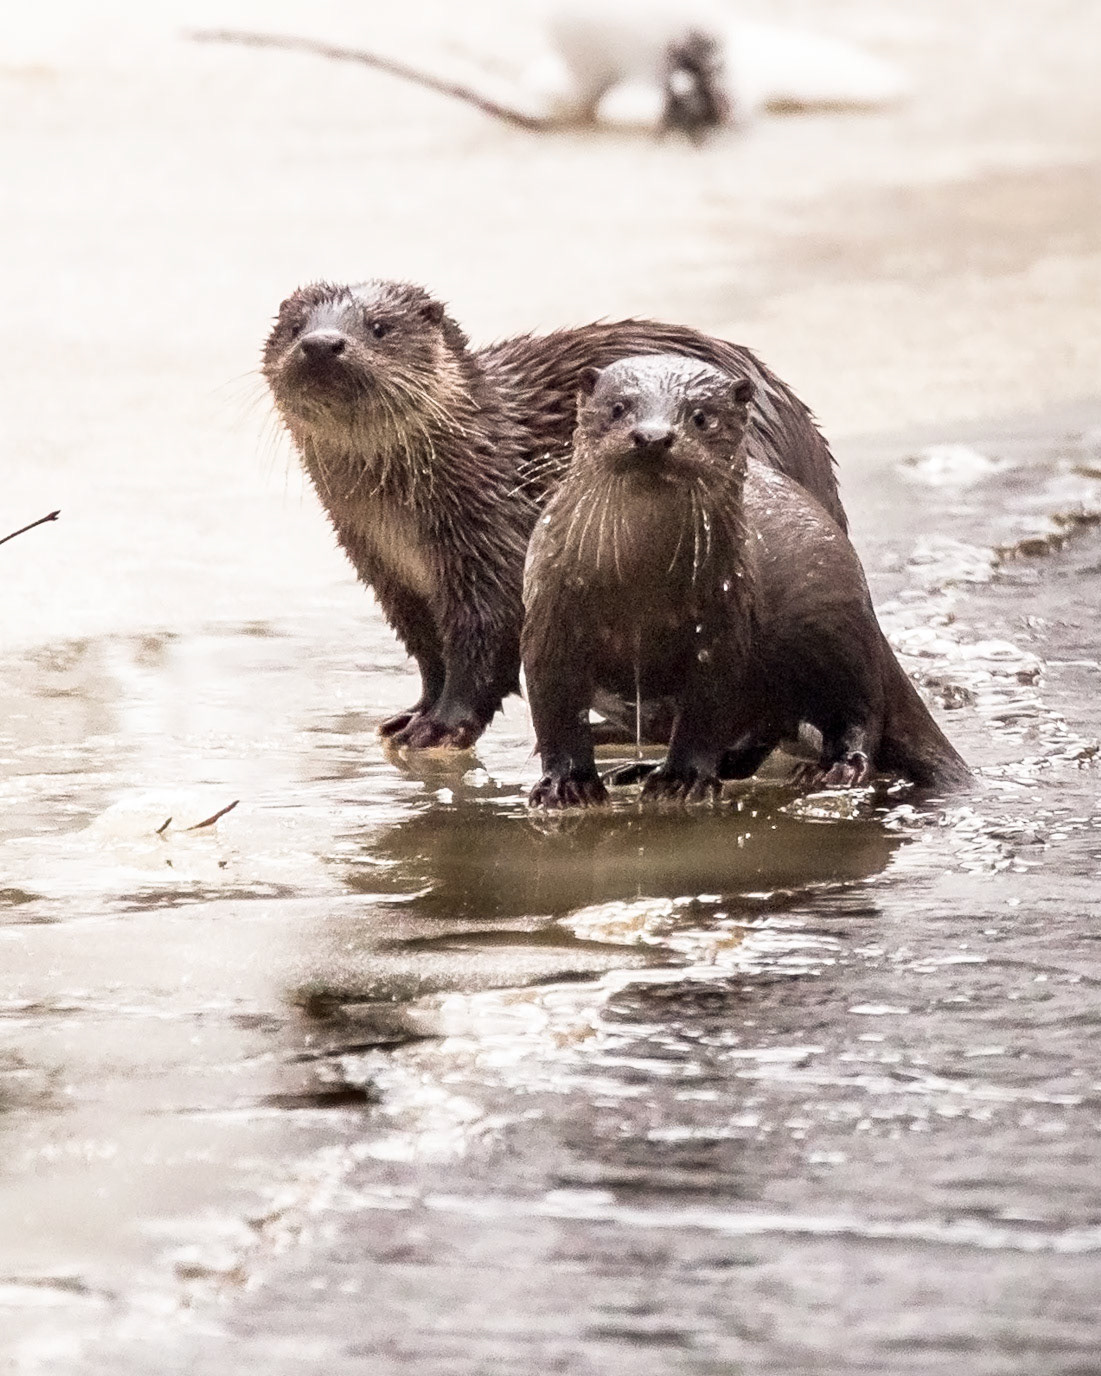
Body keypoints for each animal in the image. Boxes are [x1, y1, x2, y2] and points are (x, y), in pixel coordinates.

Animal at [263, 280, 842, 749]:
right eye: (295, 328)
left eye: (379, 328)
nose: (321, 344)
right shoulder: (385, 571)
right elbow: (429, 652)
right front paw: (412, 715)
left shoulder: (491, 538)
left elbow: (483, 642)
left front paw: (442, 727)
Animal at [522, 355, 970, 806]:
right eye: (618, 408)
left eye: (702, 417)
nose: (652, 436)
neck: (638, 590)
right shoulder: (549, 617)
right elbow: (556, 711)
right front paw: (566, 785)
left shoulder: (722, 625)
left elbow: (706, 711)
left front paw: (682, 780)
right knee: (748, 749)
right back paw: (637, 769)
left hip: (841, 632)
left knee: (860, 714)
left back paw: (834, 768)